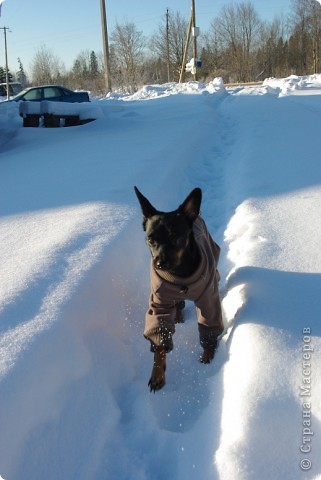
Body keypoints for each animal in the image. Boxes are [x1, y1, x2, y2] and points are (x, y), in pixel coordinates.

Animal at [134, 186, 221, 392]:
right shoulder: (159, 301)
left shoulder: (208, 300)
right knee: (177, 303)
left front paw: (208, 353)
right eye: (150, 239)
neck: (179, 273)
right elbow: (159, 338)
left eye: (176, 237)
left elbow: (208, 326)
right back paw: (179, 315)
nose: (159, 263)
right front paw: (157, 374)